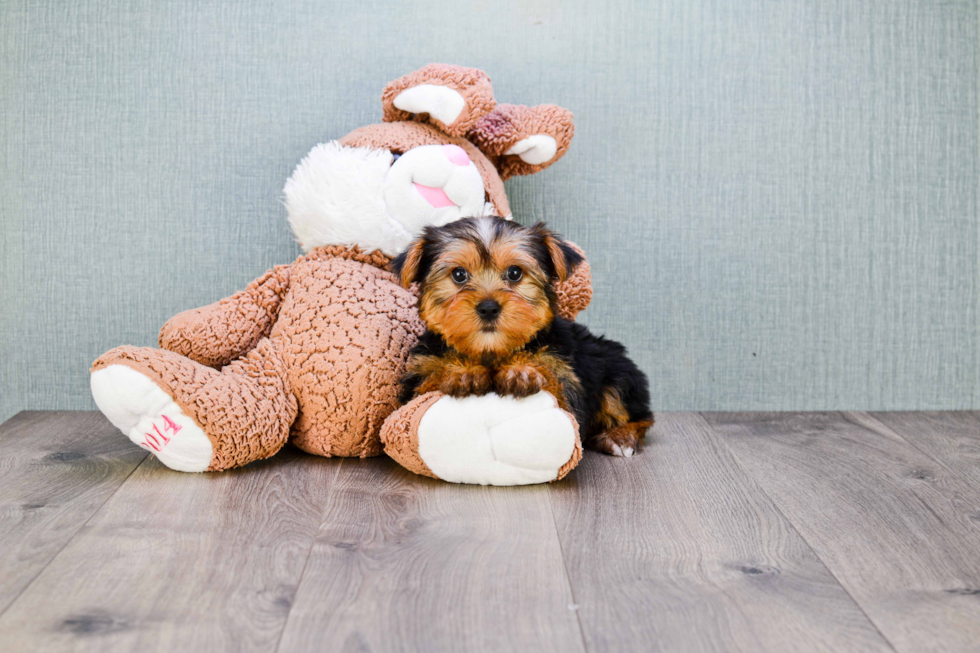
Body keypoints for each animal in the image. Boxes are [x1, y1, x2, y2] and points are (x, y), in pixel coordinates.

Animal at [390, 216, 652, 456]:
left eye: (515, 273)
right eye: (459, 275)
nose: (488, 307)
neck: (491, 351)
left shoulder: (566, 376)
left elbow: (562, 396)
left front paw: (522, 371)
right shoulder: (417, 380)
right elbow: (424, 388)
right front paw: (461, 372)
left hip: (617, 368)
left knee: (634, 410)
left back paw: (621, 437)